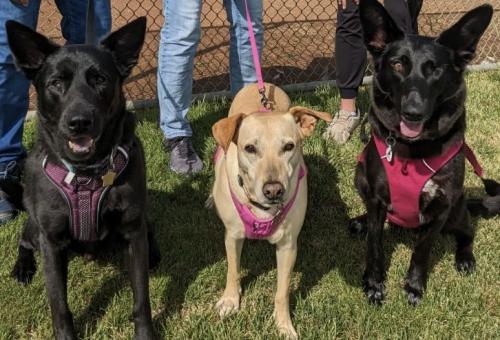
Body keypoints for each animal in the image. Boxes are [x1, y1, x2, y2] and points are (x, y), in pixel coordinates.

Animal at [7, 17, 160, 338]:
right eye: (56, 83)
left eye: (99, 79)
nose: (79, 123)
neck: (86, 175)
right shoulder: (51, 242)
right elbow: (59, 306)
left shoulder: (132, 231)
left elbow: (142, 299)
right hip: (34, 227)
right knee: (24, 241)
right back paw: (23, 268)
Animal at [352, 0, 492, 306]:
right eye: (397, 64)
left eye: (435, 70)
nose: (413, 112)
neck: (411, 151)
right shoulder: (377, 199)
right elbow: (374, 244)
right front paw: (374, 283)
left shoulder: (440, 209)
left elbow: (421, 251)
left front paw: (414, 286)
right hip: (360, 174)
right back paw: (360, 222)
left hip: (457, 210)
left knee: (467, 232)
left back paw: (465, 257)